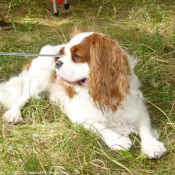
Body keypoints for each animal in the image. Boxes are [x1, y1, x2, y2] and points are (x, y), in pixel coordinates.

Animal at [0, 29, 167, 159]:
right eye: (63, 55)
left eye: (76, 56)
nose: (58, 62)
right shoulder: (78, 115)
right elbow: (99, 126)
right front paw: (117, 140)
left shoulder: (136, 108)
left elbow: (144, 126)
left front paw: (152, 145)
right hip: (39, 76)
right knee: (23, 96)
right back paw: (13, 114)